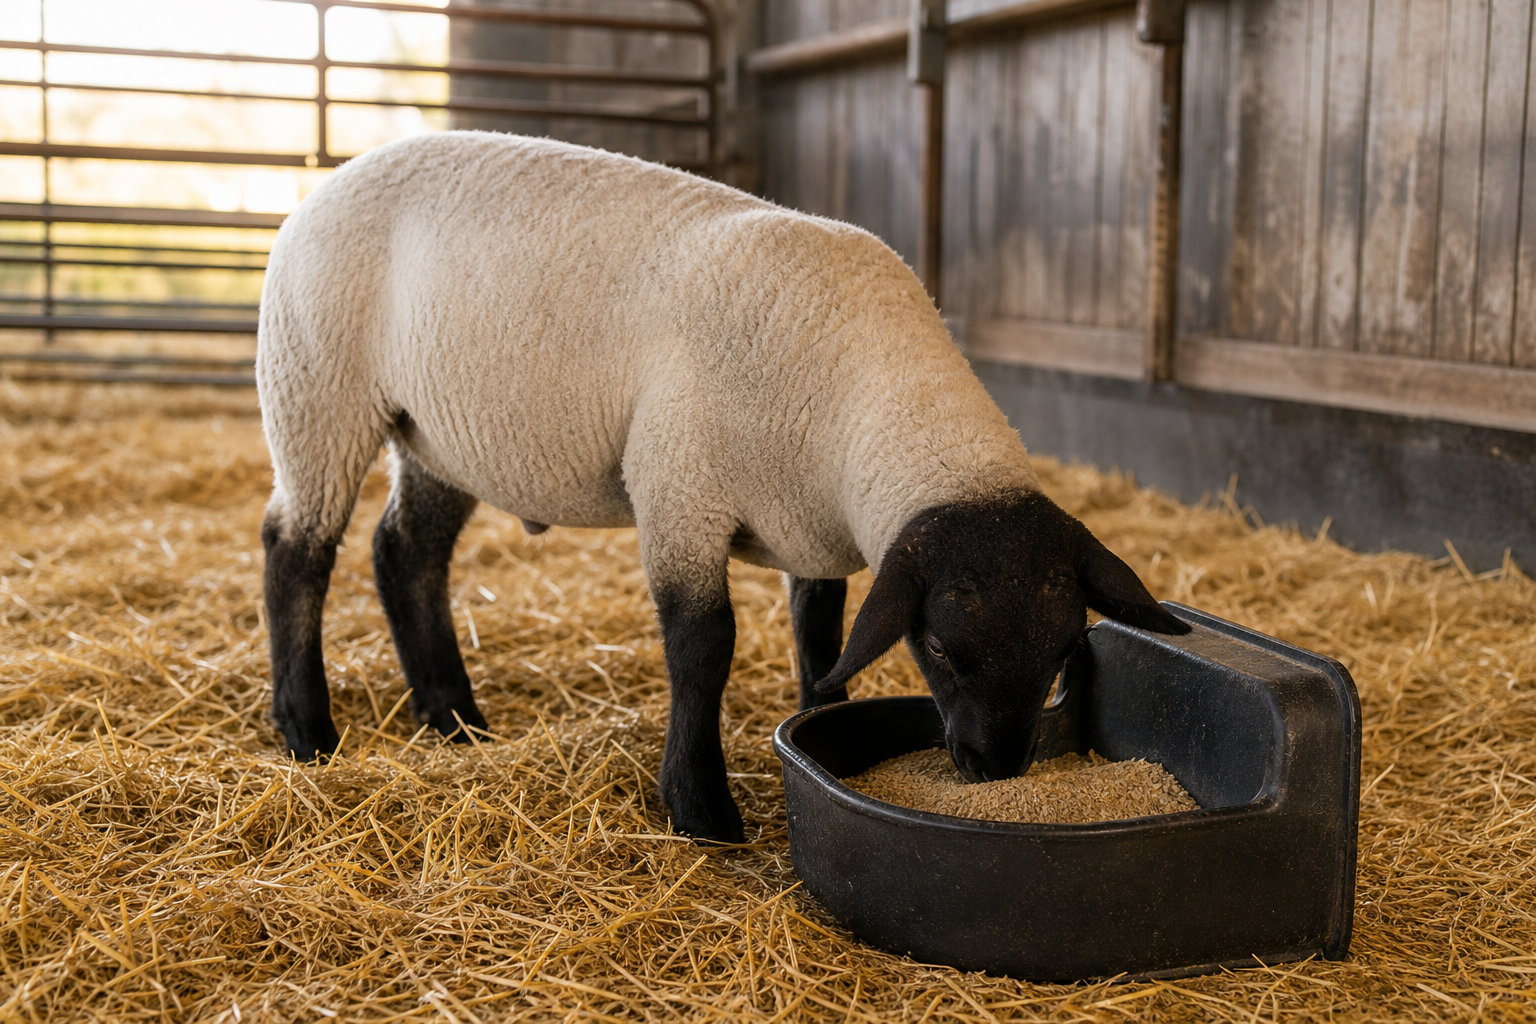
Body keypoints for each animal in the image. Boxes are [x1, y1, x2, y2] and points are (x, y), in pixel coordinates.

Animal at [257, 130, 1188, 844]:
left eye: (1065, 650)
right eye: (940, 647)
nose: (996, 770)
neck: (863, 392)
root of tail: (326, 180)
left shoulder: (810, 522)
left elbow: (822, 637)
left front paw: (819, 724)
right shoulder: (679, 487)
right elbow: (704, 647)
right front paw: (700, 808)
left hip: (440, 435)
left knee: (404, 553)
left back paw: (452, 718)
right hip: (316, 391)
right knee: (296, 549)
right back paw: (309, 731)